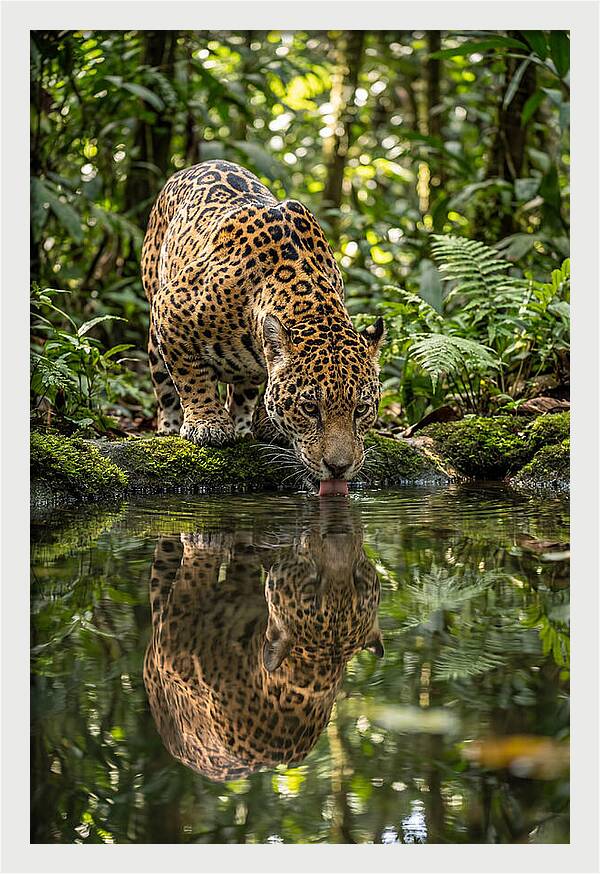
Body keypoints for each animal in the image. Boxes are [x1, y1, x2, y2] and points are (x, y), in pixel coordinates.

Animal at [141, 160, 385, 492]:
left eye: (361, 409)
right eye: (310, 408)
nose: (339, 468)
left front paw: (266, 425)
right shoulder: (170, 308)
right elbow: (192, 377)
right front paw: (208, 423)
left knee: (242, 388)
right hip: (154, 316)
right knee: (164, 385)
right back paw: (170, 426)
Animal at [143, 505, 383, 781]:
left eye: (358, 581)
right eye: (312, 585)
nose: (339, 532)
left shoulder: (172, 643)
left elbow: (197, 572)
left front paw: (205, 541)